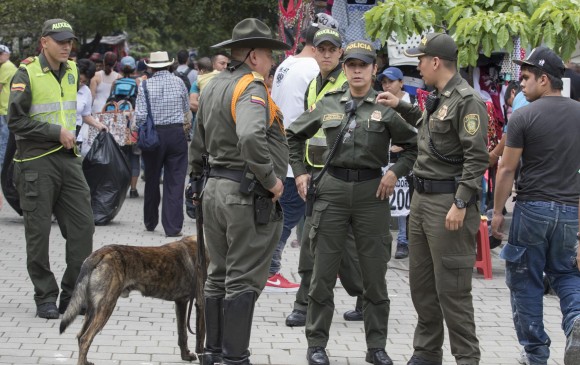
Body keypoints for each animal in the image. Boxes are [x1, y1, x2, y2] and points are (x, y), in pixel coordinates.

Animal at [59, 235, 206, 362]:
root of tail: (101, 253)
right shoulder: (199, 303)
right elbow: (200, 337)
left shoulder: (181, 302)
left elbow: (182, 333)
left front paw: (185, 356)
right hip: (106, 306)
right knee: (86, 339)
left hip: (92, 309)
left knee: (80, 336)